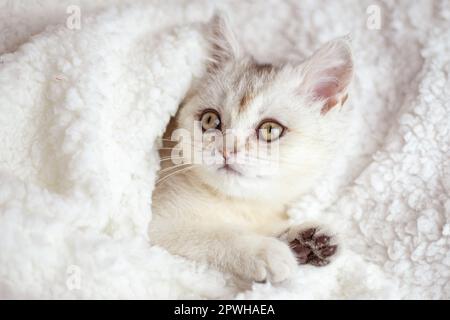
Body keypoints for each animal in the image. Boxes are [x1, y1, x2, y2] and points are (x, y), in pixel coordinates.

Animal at [149, 16, 354, 284]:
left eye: (270, 130)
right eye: (210, 120)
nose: (228, 150)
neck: (236, 202)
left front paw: (307, 238)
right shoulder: (155, 223)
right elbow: (213, 233)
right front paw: (265, 250)